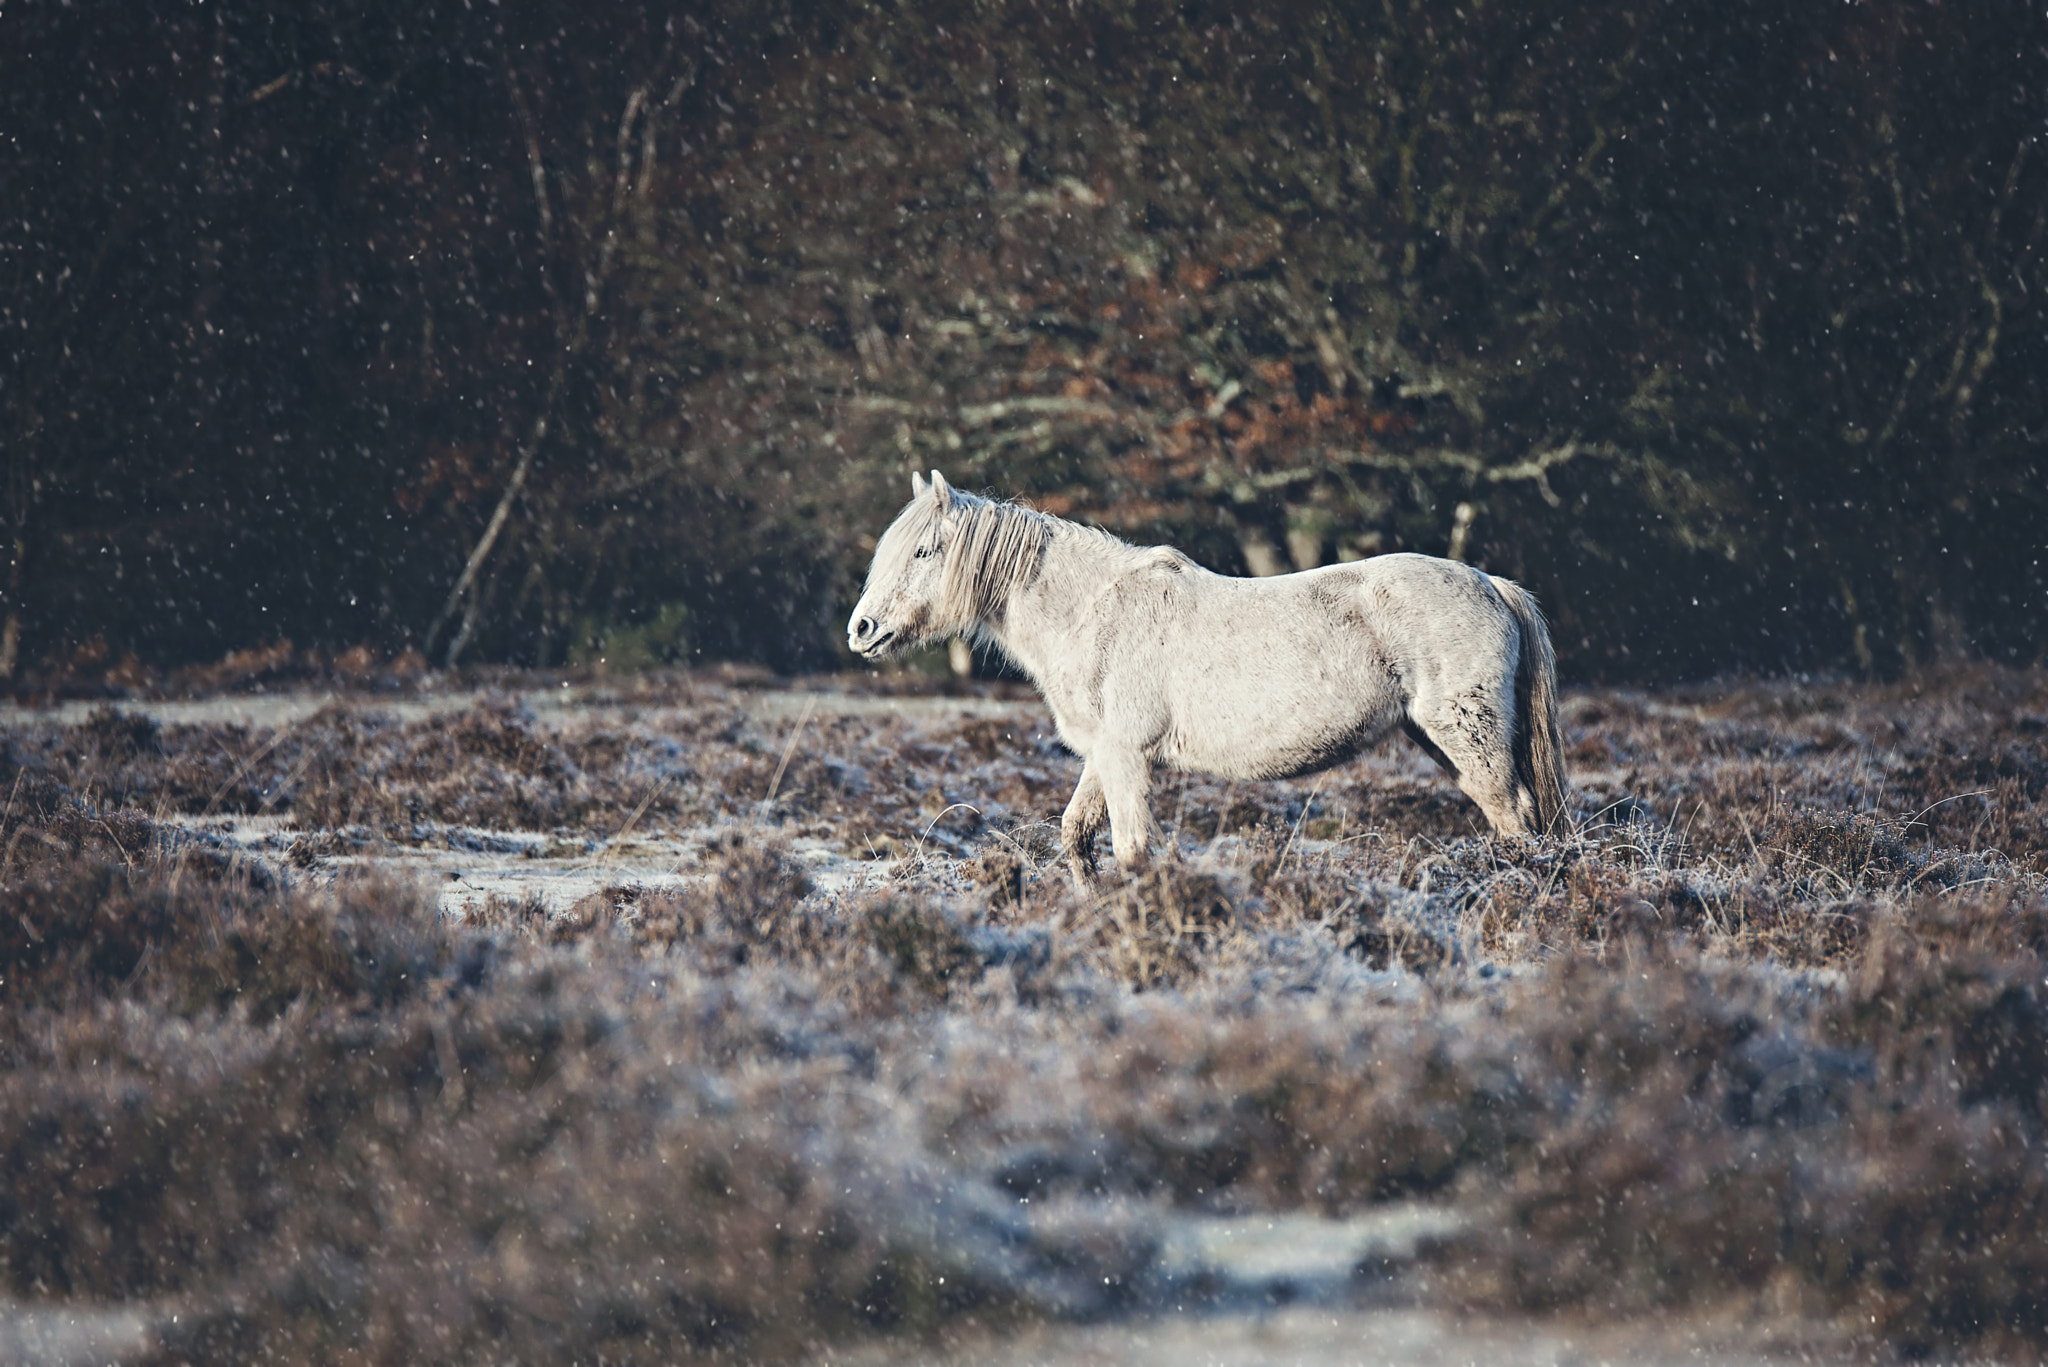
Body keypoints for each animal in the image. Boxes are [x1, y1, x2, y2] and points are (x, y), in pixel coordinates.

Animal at [847, 475, 1564, 893]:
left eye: (923, 551)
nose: (861, 628)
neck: (1092, 611)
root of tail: (1491, 585)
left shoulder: (1127, 758)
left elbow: (1131, 850)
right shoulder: (1103, 755)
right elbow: (1076, 836)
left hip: (1468, 736)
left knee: (1513, 815)